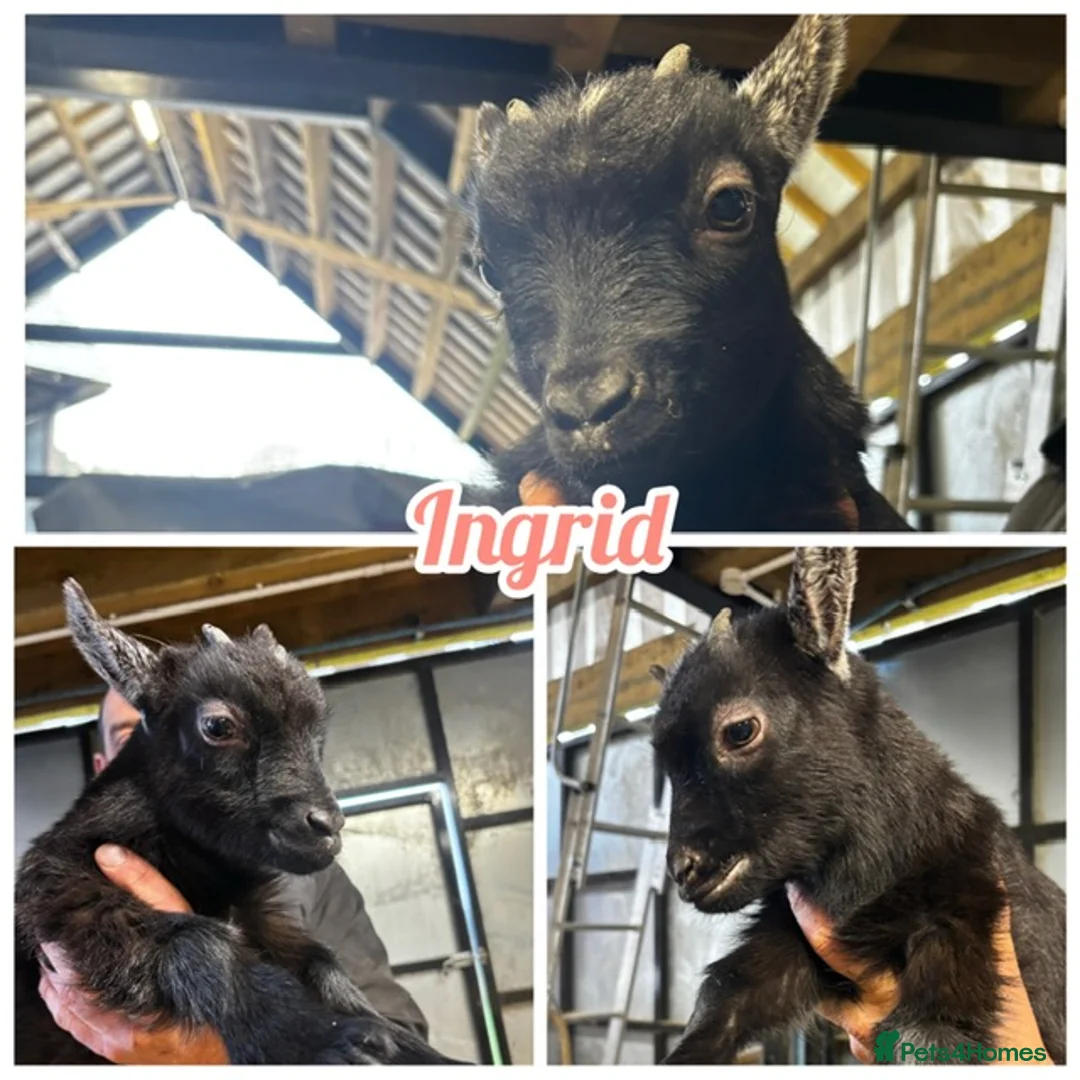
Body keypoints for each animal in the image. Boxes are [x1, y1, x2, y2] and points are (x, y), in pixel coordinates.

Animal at [15, 580, 458, 1065]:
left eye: (318, 734)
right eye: (218, 726)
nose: (327, 826)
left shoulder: (256, 908)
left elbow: (322, 962)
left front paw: (421, 1051)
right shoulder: (67, 891)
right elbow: (202, 945)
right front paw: (320, 1041)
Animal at [650, 548, 1064, 1062]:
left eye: (740, 730)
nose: (684, 870)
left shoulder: (963, 906)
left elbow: (930, 1036)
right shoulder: (787, 936)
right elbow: (728, 991)